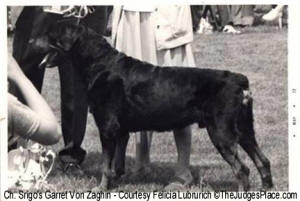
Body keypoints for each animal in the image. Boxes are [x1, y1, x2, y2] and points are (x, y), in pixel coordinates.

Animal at [32, 20, 272, 190]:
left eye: (49, 33)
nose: (30, 42)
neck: (99, 64)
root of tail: (239, 80)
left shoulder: (107, 126)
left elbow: (105, 164)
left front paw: (100, 189)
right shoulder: (121, 131)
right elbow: (116, 164)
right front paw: (114, 184)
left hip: (221, 131)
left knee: (242, 169)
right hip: (244, 129)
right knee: (263, 161)